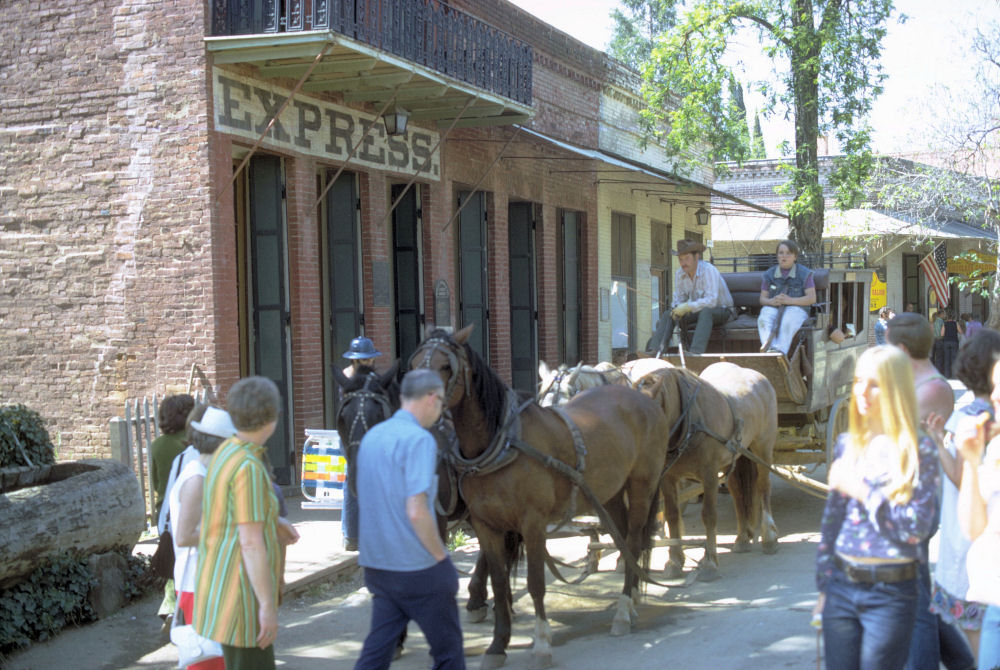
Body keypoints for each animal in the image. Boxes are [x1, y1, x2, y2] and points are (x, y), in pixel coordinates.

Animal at [406, 328, 672, 668]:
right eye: (413, 363)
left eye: (445, 367)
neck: (501, 445)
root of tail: (644, 398)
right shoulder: (485, 525)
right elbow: (499, 582)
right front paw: (497, 645)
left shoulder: (531, 523)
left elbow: (535, 582)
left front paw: (542, 643)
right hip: (609, 492)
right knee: (623, 538)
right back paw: (633, 594)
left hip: (642, 485)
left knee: (635, 540)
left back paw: (624, 611)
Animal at [632, 362, 780, 584]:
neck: (691, 422)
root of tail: (759, 377)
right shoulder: (668, 478)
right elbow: (672, 515)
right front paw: (674, 562)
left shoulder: (709, 475)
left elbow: (709, 515)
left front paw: (709, 563)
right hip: (735, 458)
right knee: (738, 495)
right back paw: (742, 538)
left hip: (762, 449)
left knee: (763, 488)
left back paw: (769, 537)